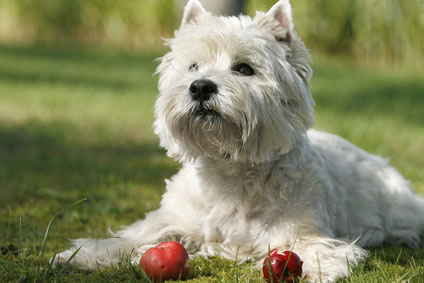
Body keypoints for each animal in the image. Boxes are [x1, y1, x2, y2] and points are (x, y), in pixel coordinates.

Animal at [53, 1, 424, 282]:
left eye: (244, 69)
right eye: (193, 66)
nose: (200, 87)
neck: (231, 171)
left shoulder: (302, 232)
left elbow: (314, 248)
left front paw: (319, 269)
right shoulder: (178, 218)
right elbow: (141, 233)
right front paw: (85, 254)